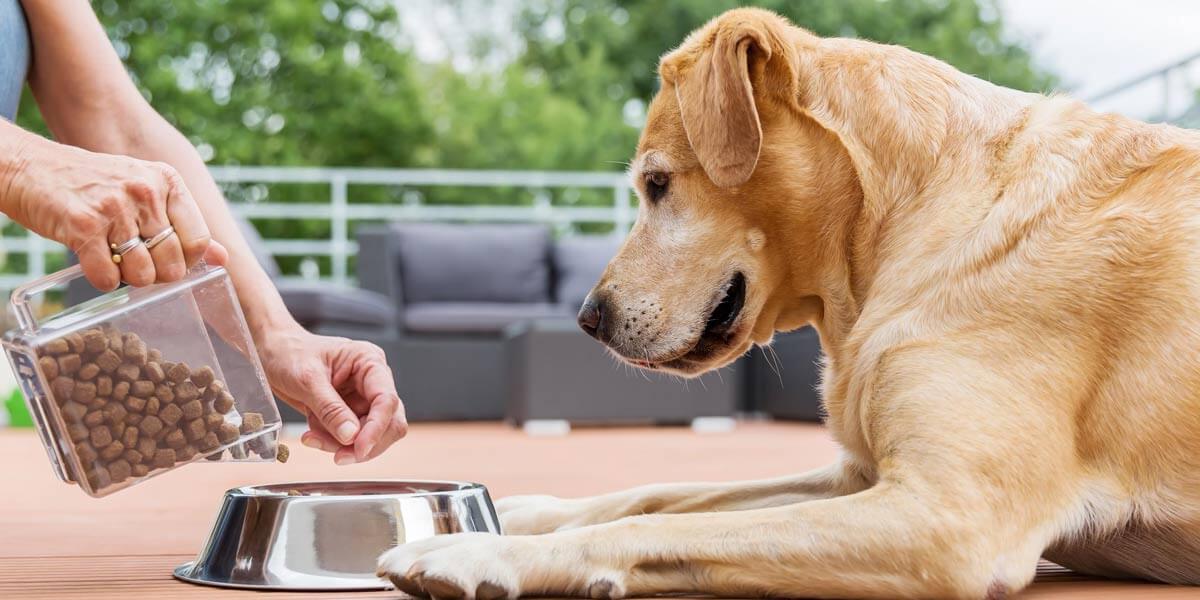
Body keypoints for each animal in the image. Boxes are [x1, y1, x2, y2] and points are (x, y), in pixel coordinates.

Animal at [376, 7, 1200, 597]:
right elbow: (660, 495)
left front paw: (480, 550)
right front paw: (524, 513)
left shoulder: (951, 516)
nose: (587, 319)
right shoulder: (857, 477)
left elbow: (665, 530)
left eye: (657, 184)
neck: (905, 222)